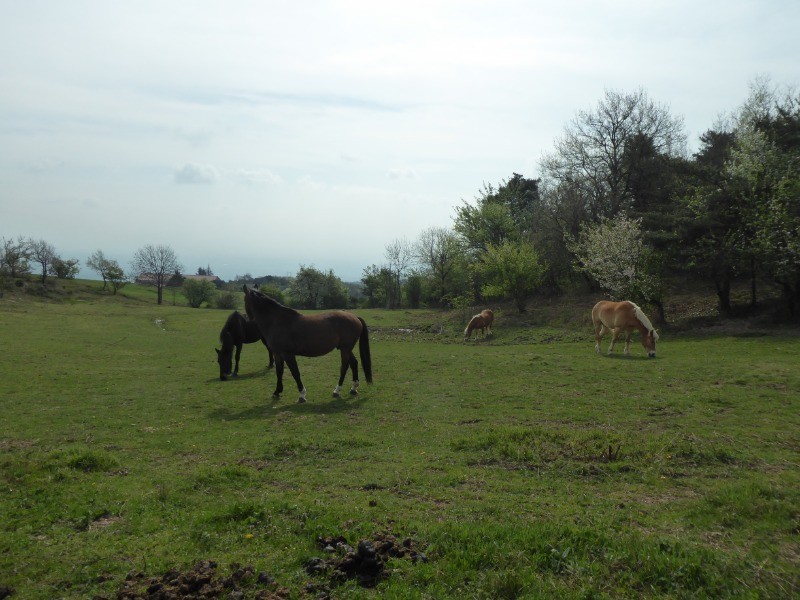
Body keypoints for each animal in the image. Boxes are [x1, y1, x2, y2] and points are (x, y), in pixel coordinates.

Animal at [242, 285, 372, 402]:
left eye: (244, 300)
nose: (249, 319)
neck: (277, 321)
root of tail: (355, 317)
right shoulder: (277, 354)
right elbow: (279, 372)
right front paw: (277, 392)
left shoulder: (288, 355)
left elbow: (295, 373)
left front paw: (302, 395)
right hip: (345, 348)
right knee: (354, 363)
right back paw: (353, 388)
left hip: (345, 349)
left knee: (344, 367)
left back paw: (337, 390)